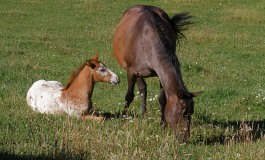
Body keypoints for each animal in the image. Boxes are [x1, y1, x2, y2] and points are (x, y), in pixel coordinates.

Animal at [112, 4, 201, 140]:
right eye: (180, 112)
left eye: (191, 112)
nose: (184, 137)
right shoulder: (131, 71)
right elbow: (129, 96)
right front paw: (122, 122)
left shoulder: (160, 74)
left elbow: (162, 99)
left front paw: (162, 126)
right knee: (142, 88)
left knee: (143, 88)